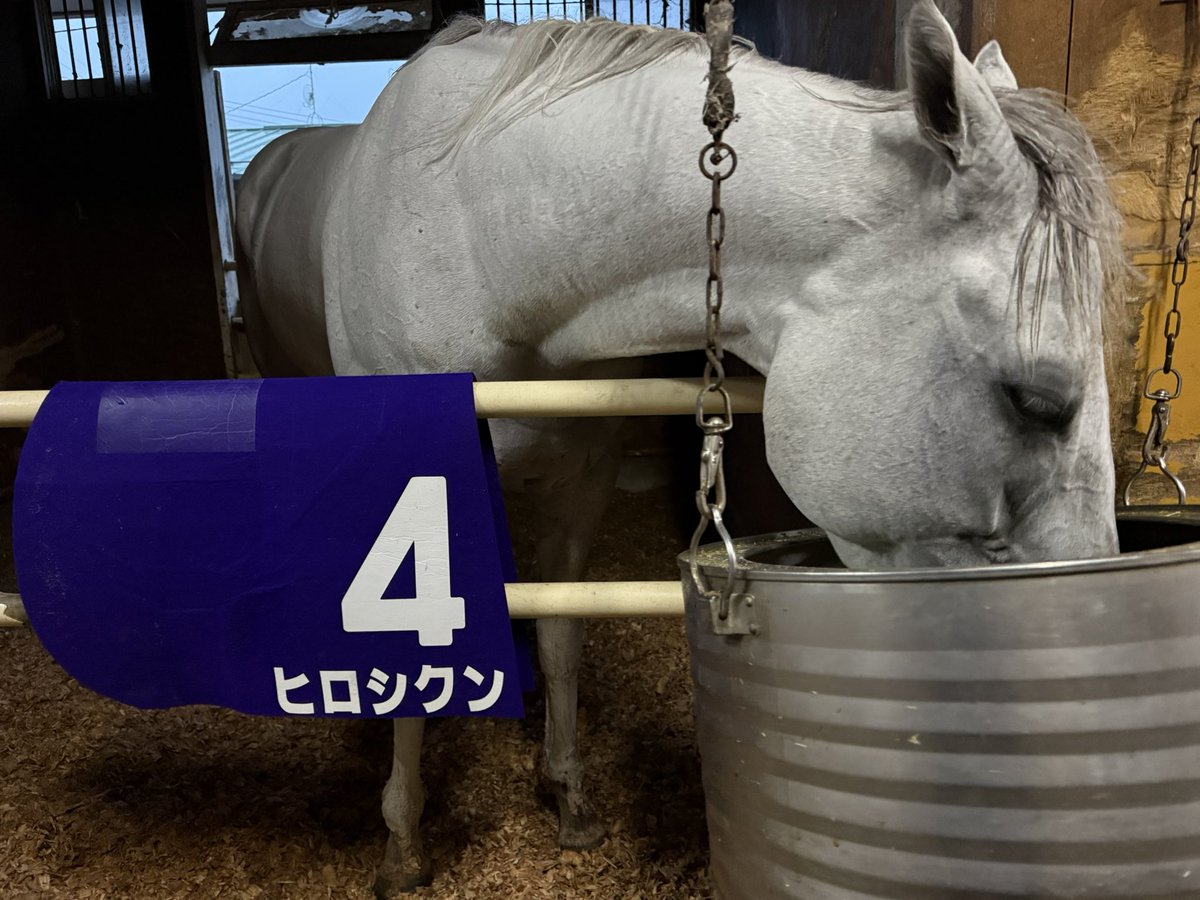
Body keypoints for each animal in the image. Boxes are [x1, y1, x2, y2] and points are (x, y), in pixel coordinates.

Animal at [235, 1, 1126, 893]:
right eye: (1039, 400)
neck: (480, 240)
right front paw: (403, 842)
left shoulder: (582, 477)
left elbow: (561, 632)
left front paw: (568, 796)